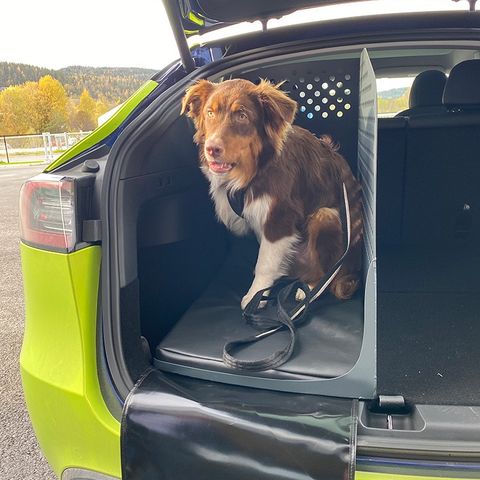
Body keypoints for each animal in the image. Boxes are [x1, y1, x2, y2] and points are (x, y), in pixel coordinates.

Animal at [182, 79, 362, 310]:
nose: (212, 149)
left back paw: (309, 290)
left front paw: (255, 296)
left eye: (242, 115)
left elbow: (265, 263)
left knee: (327, 274)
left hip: (326, 216)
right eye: (210, 112)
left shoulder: (279, 218)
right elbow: (268, 255)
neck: (255, 169)